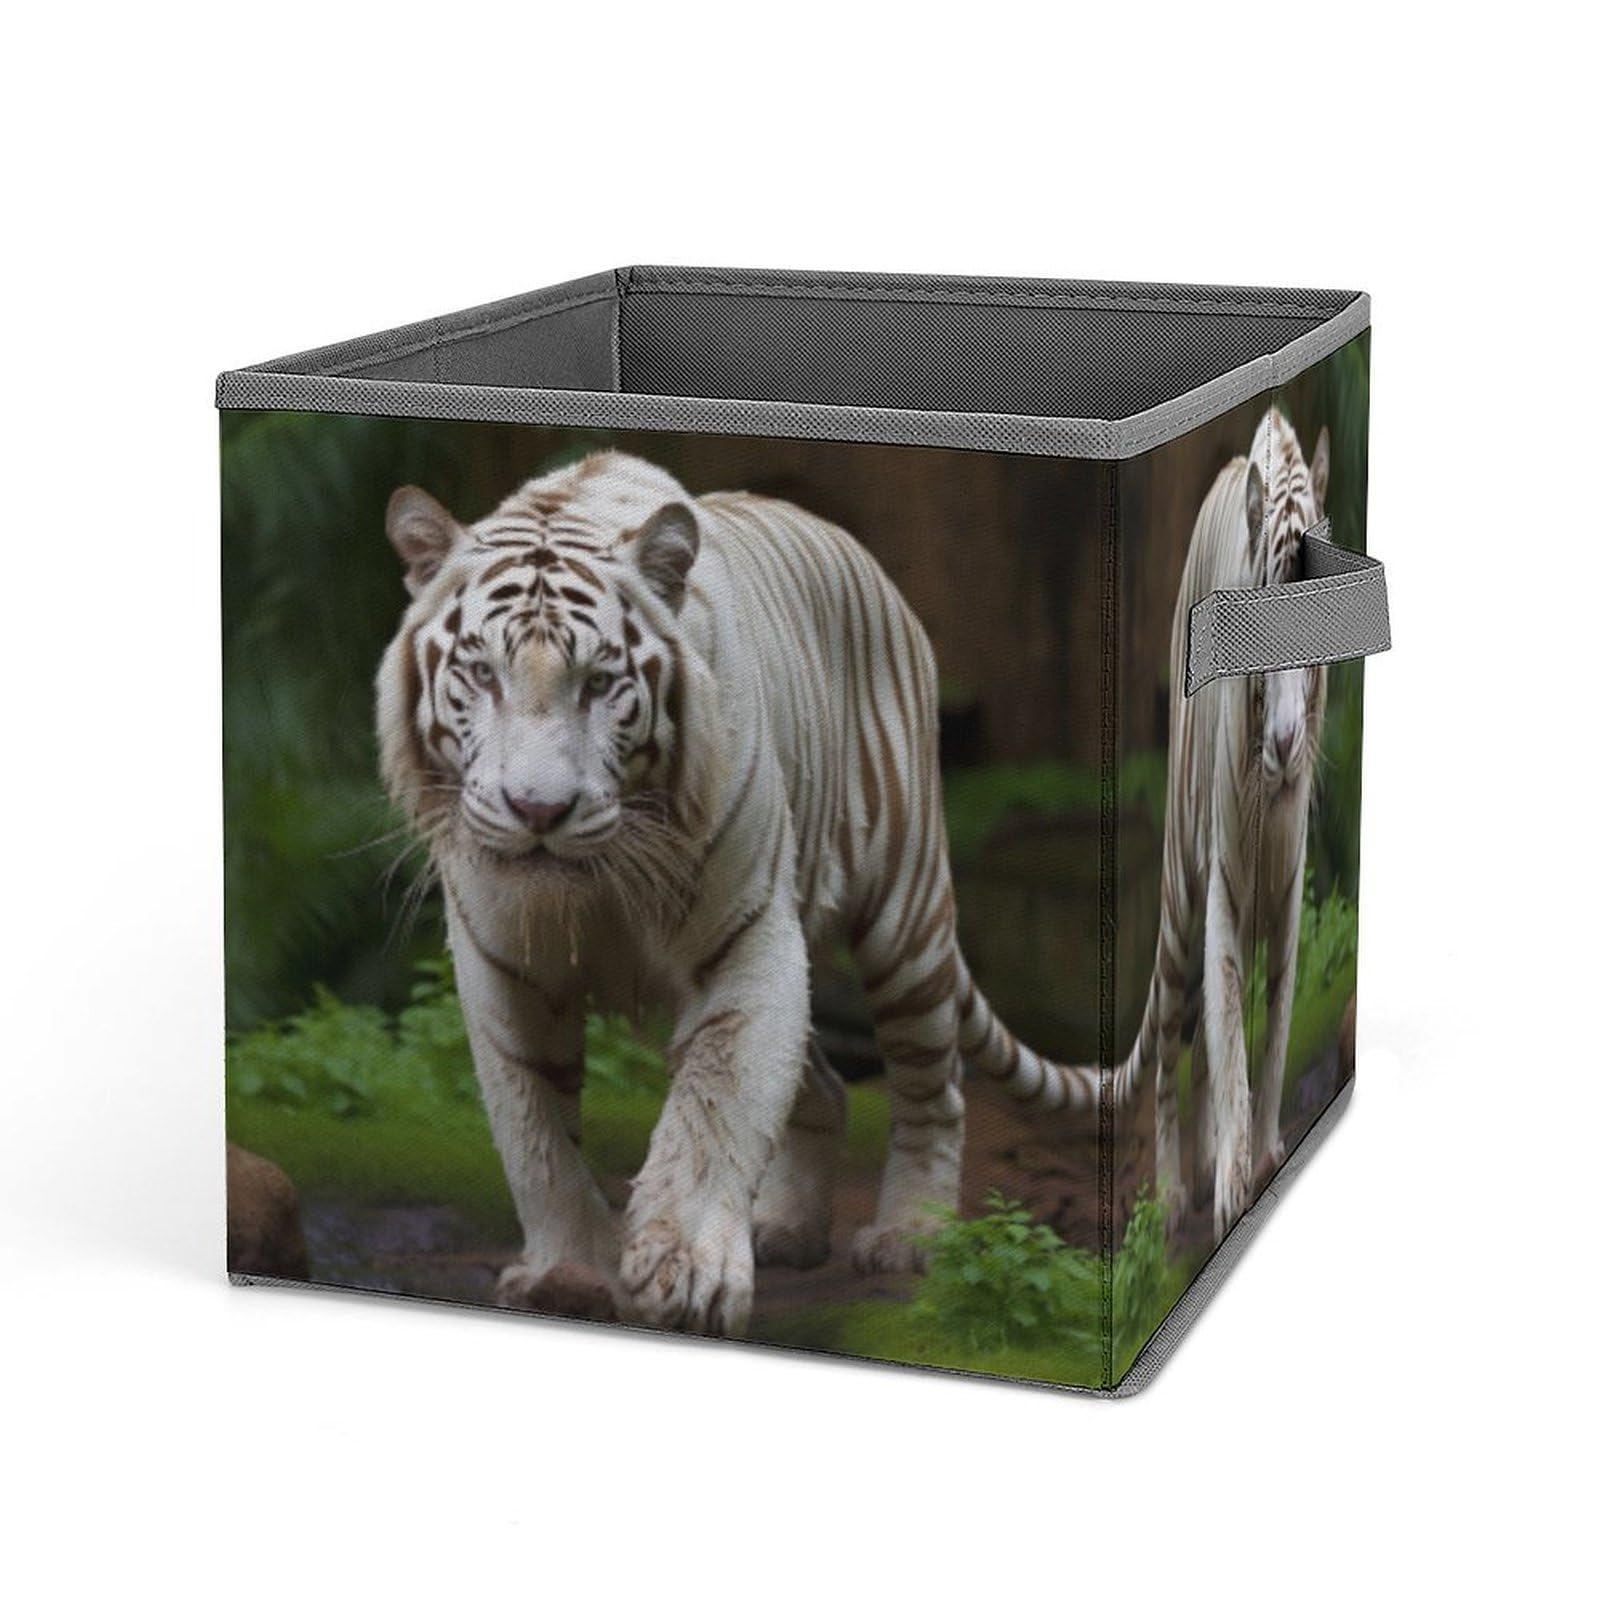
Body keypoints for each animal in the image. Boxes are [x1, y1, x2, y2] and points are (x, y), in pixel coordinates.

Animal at [375, 450, 1093, 1338]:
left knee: (934, 1086)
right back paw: (786, 1228)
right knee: (824, 1081)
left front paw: (686, 1274)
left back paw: (910, 1236)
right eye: (482, 673)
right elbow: (535, 1133)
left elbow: (715, 1105)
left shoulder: (748, 939)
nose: (539, 810)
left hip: (907, 914)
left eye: (599, 682)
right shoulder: (503, 968)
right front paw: (567, 1274)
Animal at [1108, 409, 1331, 1242]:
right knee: (1174, 1051)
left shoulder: (1290, 893)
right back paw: (1177, 1189)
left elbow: (1271, 1031)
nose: (1287, 744)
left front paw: (1260, 1150)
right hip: (1179, 899)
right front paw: (1235, 1183)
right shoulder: (1226, 892)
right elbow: (1231, 1030)